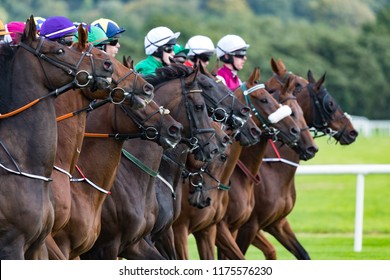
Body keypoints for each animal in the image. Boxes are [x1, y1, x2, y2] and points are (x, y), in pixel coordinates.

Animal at [233, 57, 358, 260]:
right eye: (330, 103)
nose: (352, 131)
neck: (272, 168)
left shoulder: (277, 223)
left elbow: (300, 254)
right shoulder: (248, 226)